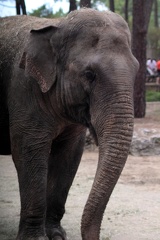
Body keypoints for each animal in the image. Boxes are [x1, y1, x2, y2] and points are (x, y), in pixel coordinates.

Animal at [0, 8, 138, 240]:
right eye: (89, 74)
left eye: (136, 70)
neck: (58, 24)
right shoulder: (23, 89)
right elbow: (28, 152)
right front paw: (36, 239)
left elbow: (69, 156)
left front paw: (56, 235)